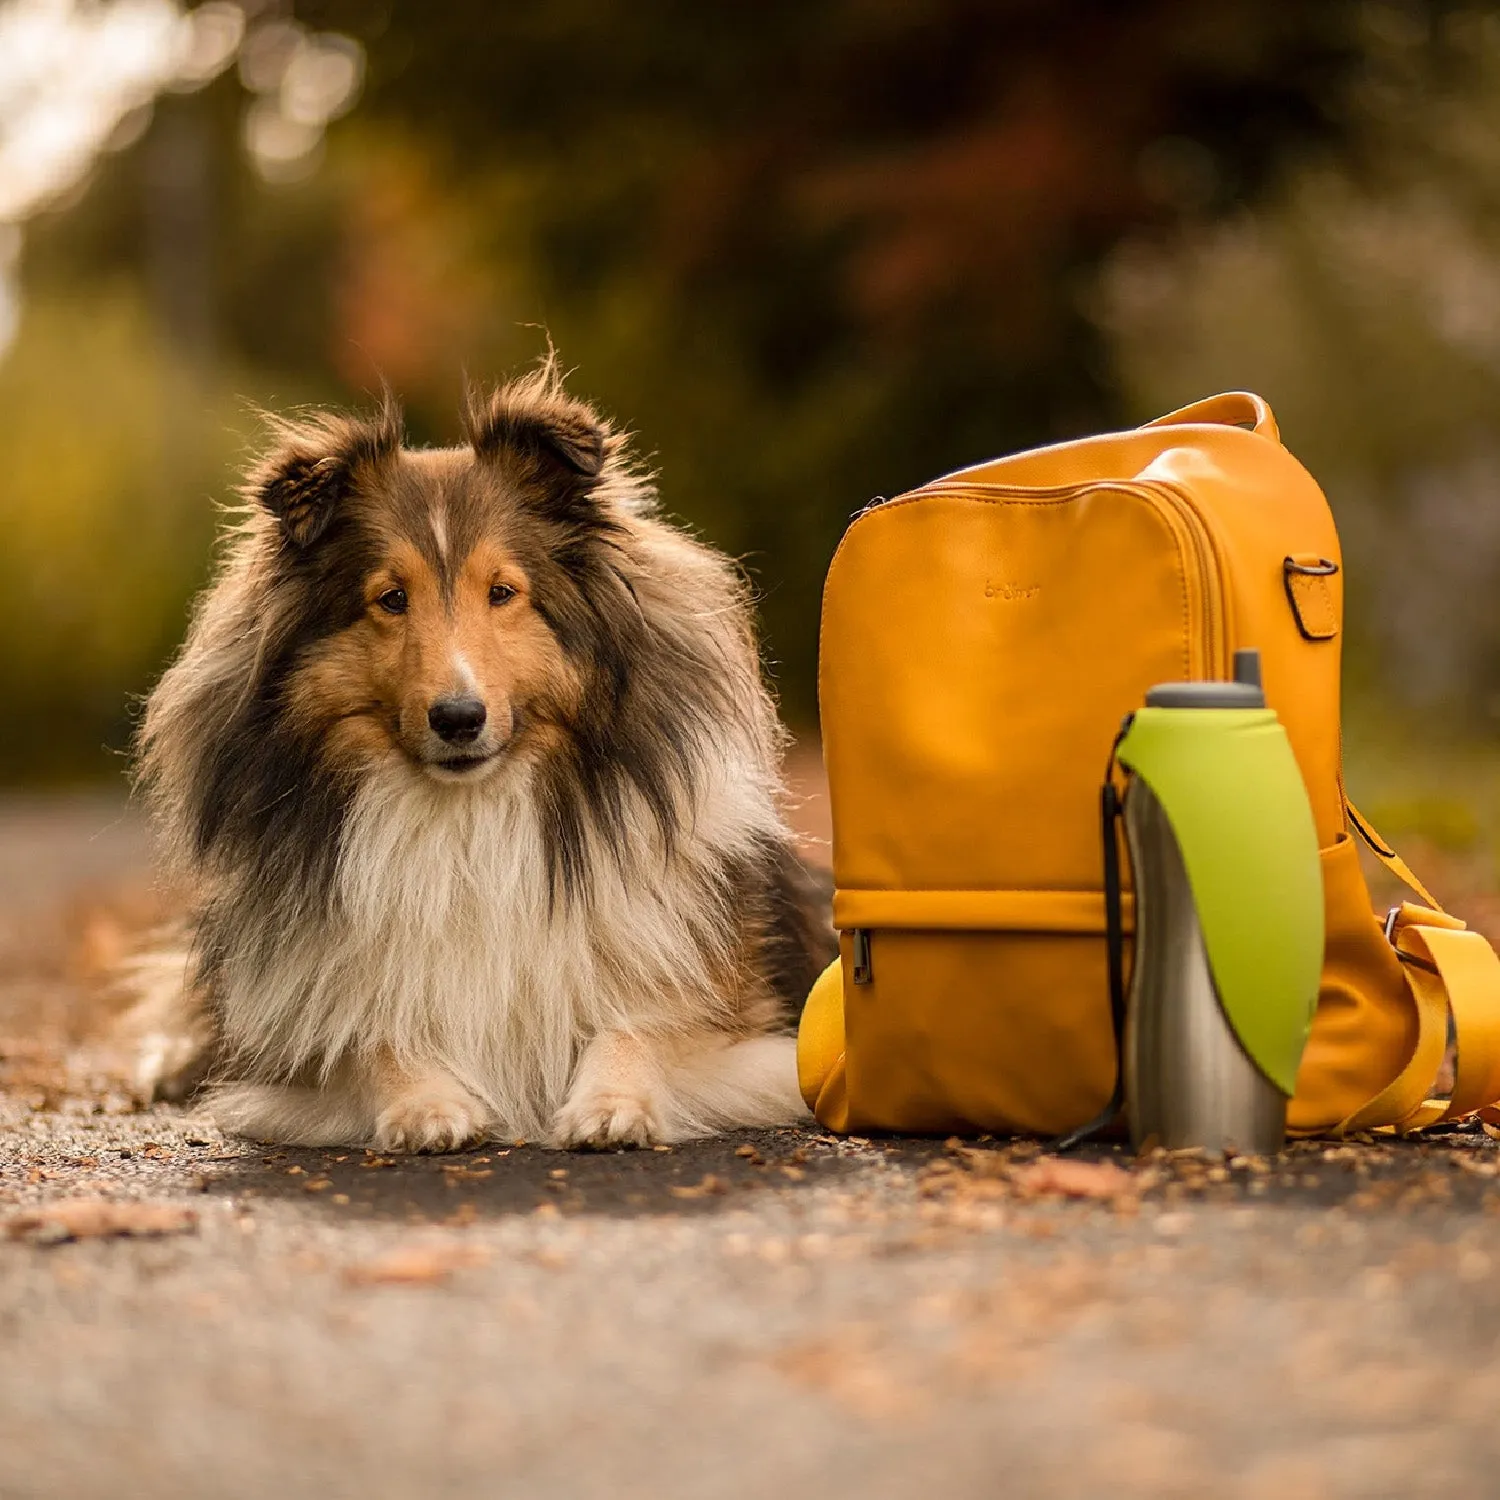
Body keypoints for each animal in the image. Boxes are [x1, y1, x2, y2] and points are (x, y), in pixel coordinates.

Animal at [129, 360, 834, 1146]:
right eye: (391, 598)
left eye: (502, 591)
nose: (459, 719)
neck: (469, 821)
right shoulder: (293, 1047)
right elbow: (371, 1040)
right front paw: (428, 1105)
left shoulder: (744, 1026)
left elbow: (639, 1028)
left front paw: (611, 1106)